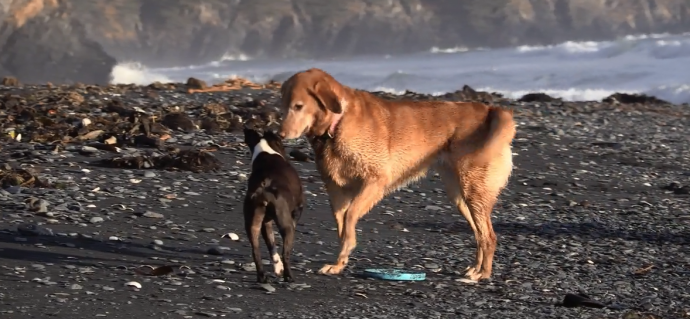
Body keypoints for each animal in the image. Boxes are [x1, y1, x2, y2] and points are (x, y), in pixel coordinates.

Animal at [243, 127, 306, 282]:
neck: (266, 152)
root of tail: (263, 188)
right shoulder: (298, 209)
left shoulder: (265, 223)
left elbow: (271, 244)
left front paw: (277, 268)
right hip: (286, 225)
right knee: (285, 253)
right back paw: (289, 276)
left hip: (253, 223)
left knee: (256, 249)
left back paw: (262, 276)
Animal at [276, 68, 512, 282]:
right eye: (284, 106)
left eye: (298, 106)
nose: (280, 134)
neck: (337, 123)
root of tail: (489, 110)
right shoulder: (337, 190)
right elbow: (341, 225)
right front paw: (339, 262)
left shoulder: (375, 181)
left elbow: (350, 217)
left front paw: (347, 249)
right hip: (460, 197)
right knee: (479, 234)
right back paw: (475, 268)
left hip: (474, 191)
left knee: (489, 236)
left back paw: (483, 273)